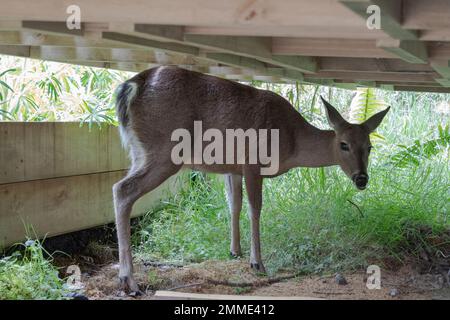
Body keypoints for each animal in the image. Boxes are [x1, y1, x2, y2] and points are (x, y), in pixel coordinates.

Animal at [112, 66, 390, 294]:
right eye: (343, 144)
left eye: (370, 147)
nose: (362, 178)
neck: (292, 142)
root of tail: (131, 86)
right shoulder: (253, 161)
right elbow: (255, 208)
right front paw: (257, 262)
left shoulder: (232, 168)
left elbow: (233, 205)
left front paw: (235, 251)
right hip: (163, 151)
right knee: (122, 189)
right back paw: (129, 280)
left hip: (139, 153)